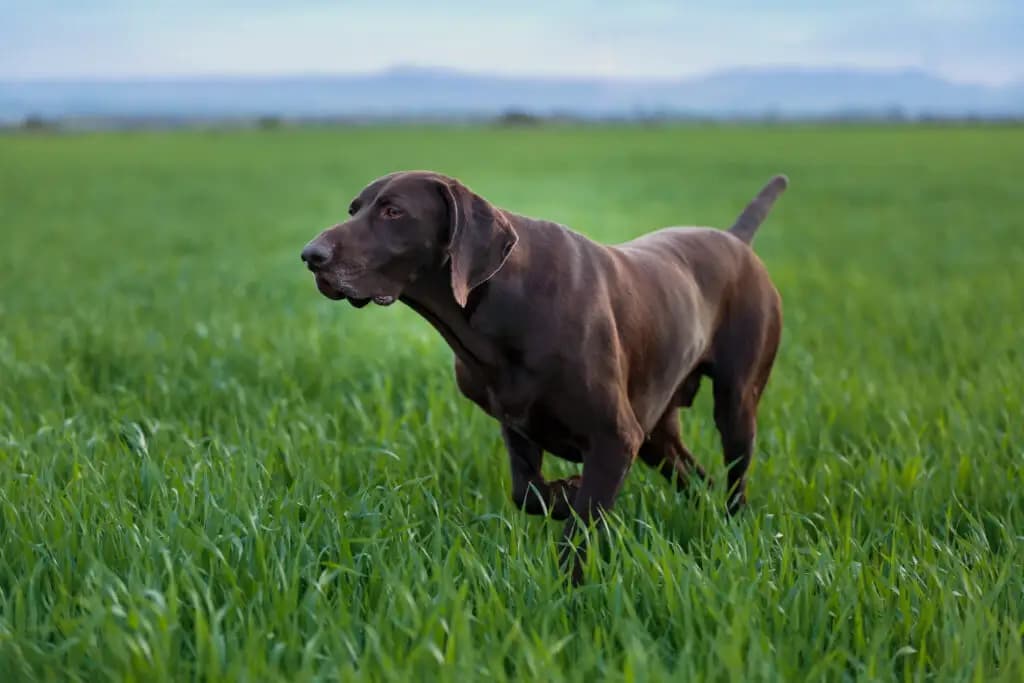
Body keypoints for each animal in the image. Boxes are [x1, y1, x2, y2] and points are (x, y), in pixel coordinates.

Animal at [299, 172, 786, 581]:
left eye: (393, 212)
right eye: (353, 209)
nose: (311, 256)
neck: (506, 302)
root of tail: (735, 240)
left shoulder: (615, 438)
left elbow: (580, 530)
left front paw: (570, 585)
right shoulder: (518, 427)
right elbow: (528, 493)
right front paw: (565, 491)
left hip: (735, 404)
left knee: (734, 481)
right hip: (658, 434)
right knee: (698, 480)